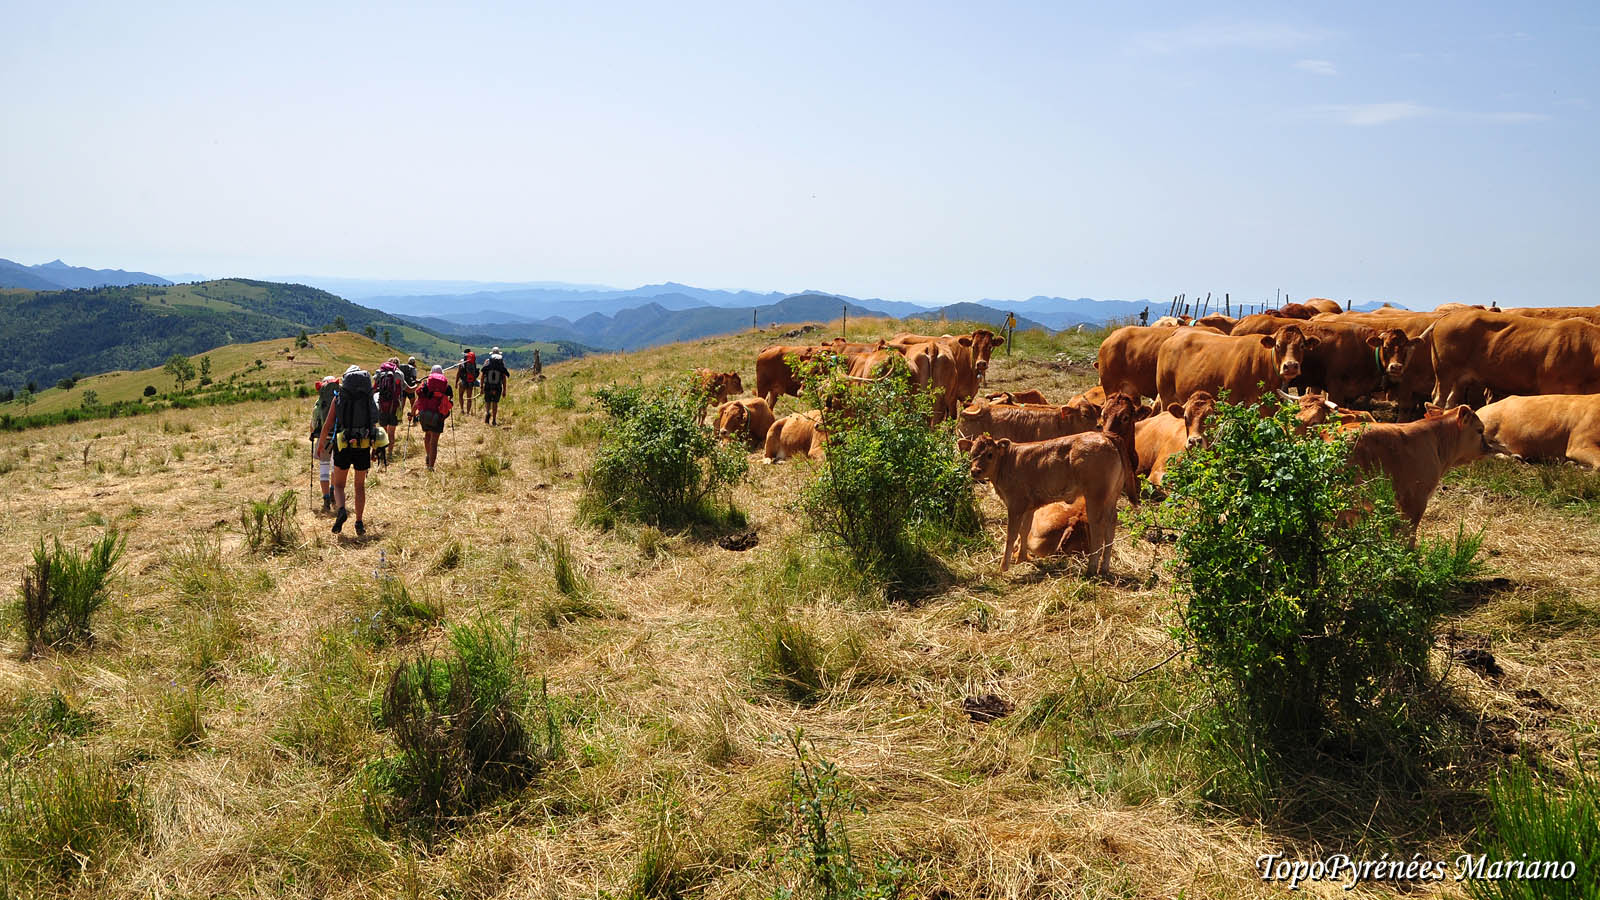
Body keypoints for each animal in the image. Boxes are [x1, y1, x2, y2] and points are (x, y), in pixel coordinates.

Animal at [959, 392, 1140, 573]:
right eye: (972, 453)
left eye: (990, 454)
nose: (975, 471)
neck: (1009, 461)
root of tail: (1105, 436)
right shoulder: (1030, 506)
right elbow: (1024, 530)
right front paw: (1023, 558)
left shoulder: (1015, 505)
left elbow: (1012, 534)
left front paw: (1004, 566)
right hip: (1111, 496)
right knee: (1111, 524)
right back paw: (1104, 567)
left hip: (1095, 497)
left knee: (1097, 527)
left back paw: (1091, 568)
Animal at [1155, 325, 1319, 409]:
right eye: (1278, 345)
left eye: (1302, 345)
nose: (1290, 366)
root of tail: (1172, 338)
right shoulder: (1232, 400)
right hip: (1166, 396)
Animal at [1430, 310, 1600, 407]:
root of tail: (1448, 316)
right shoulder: (1550, 387)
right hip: (1444, 372)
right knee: (1438, 399)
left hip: (1460, 380)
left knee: (1450, 401)